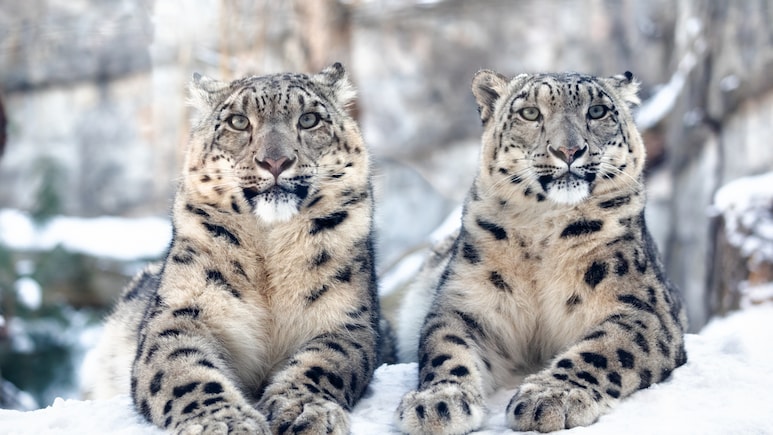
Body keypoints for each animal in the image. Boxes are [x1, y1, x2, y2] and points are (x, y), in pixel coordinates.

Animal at [83, 63, 385, 434]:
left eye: (309, 119)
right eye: (239, 121)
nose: (275, 161)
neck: (270, 252)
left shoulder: (347, 320)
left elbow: (324, 362)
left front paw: (303, 409)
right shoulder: (183, 311)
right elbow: (183, 370)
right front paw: (225, 422)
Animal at [394, 70, 688, 433]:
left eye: (597, 111)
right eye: (530, 113)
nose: (568, 150)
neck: (542, 232)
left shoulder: (642, 309)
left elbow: (602, 349)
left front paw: (551, 397)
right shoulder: (465, 304)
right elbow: (446, 348)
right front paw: (437, 402)